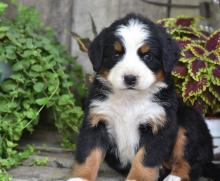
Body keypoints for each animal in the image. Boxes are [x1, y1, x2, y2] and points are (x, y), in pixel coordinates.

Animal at [68, 14, 219, 181]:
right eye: (116, 54)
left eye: (147, 56)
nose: (130, 78)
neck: (130, 100)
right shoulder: (96, 120)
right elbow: (88, 155)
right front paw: (80, 178)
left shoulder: (157, 125)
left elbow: (144, 160)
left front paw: (137, 177)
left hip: (188, 120)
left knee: (190, 161)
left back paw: (175, 176)